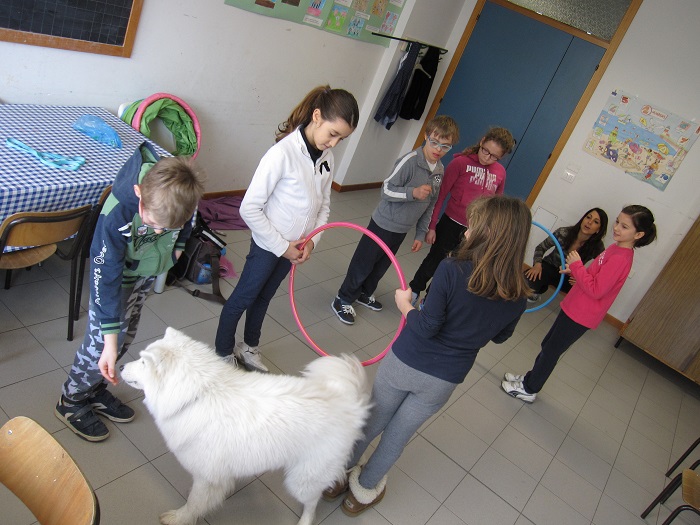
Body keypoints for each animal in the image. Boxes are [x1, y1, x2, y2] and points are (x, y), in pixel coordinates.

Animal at [120, 326, 372, 520]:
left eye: (142, 362)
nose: (120, 366)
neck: (199, 394)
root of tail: (346, 402)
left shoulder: (206, 476)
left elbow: (193, 503)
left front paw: (179, 517)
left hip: (302, 479)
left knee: (311, 503)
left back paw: (305, 520)